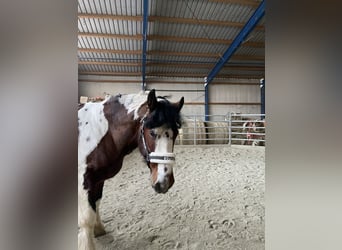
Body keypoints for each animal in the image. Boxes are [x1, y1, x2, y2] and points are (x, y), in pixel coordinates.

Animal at [77, 90, 184, 250]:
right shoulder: (84, 181)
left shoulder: (98, 179)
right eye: (152, 133)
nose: (164, 181)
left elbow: (96, 203)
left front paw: (99, 230)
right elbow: (86, 219)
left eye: (176, 133)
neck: (101, 132)